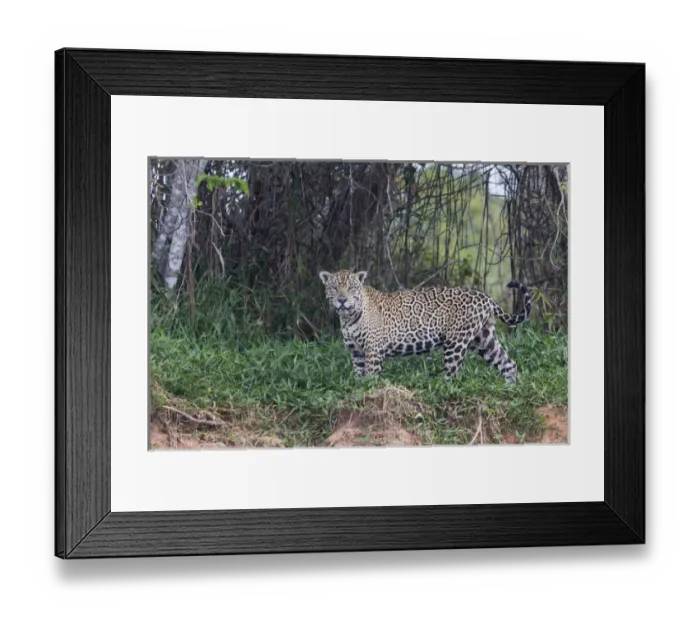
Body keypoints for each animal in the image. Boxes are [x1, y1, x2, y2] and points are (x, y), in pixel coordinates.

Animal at [319, 269, 532, 383]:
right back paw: (510, 388)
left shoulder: (373, 350)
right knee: (508, 363)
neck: (348, 318)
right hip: (484, 339)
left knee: (454, 373)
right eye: (334, 288)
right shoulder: (356, 353)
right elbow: (358, 376)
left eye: (351, 287)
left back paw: (444, 390)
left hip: (456, 342)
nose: (342, 300)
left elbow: (371, 377)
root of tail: (486, 297)